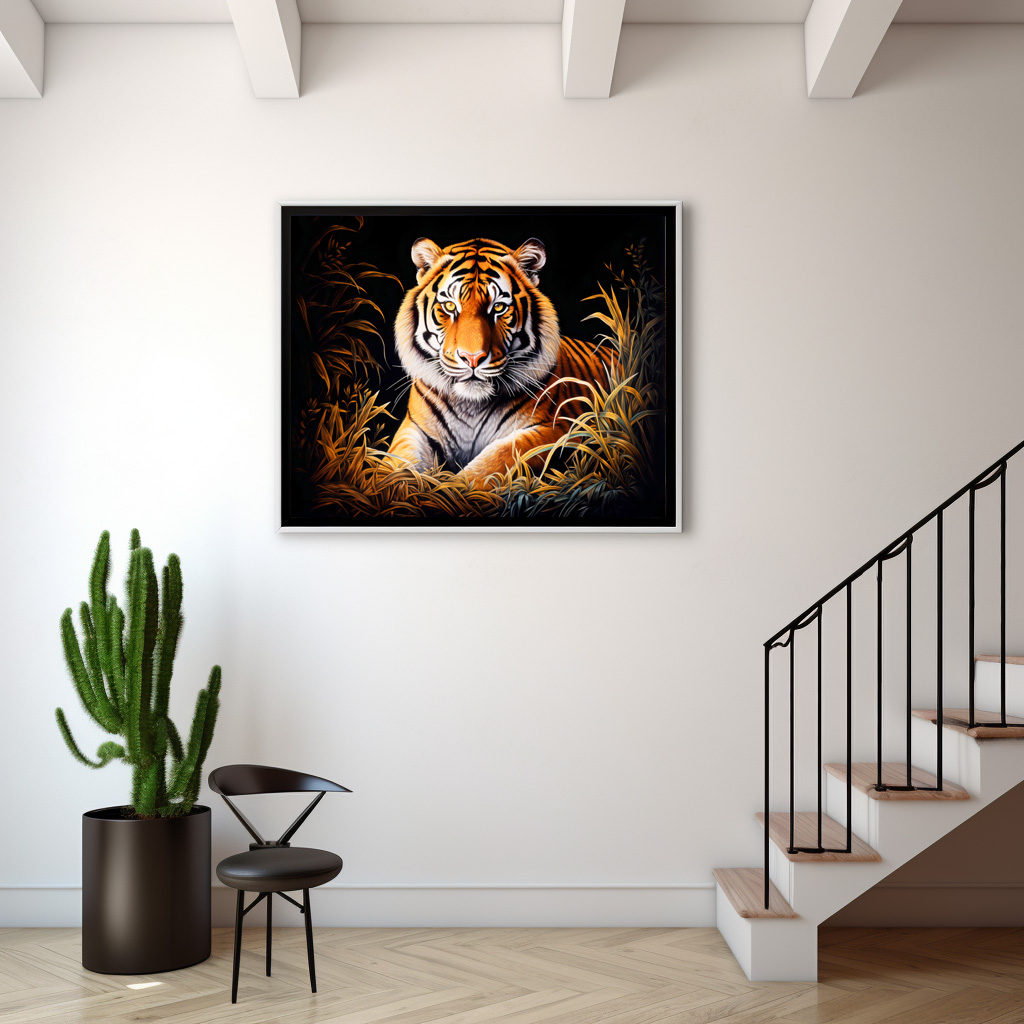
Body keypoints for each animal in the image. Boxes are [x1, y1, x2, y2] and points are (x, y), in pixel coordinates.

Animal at [386, 236, 616, 485]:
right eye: (449, 306)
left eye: (498, 307)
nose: (472, 358)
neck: (470, 405)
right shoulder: (414, 429)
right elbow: (396, 465)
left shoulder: (558, 428)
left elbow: (496, 459)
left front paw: (454, 489)